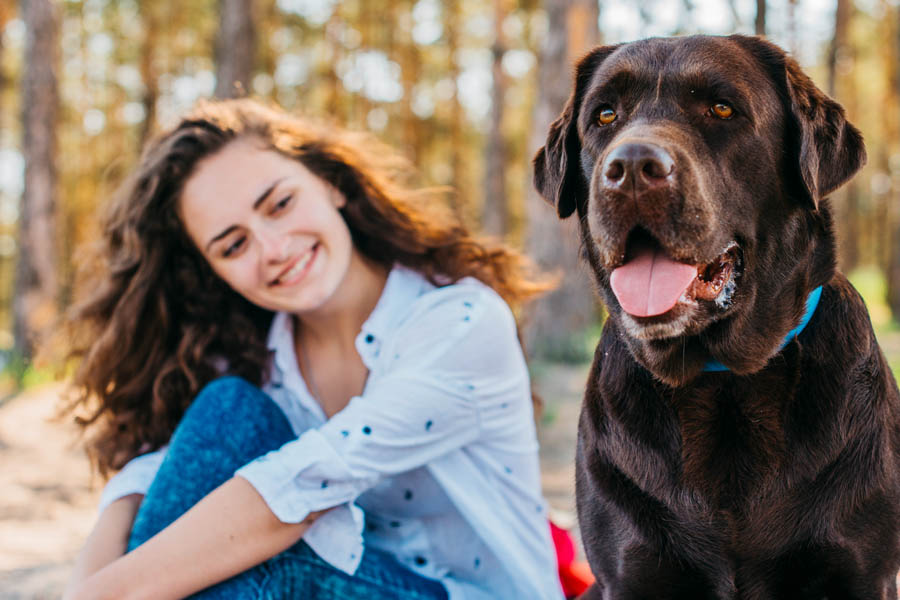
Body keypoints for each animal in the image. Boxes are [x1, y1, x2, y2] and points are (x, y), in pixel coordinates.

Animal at [532, 36, 900, 600]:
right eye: (605, 115)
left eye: (722, 109)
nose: (630, 167)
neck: (721, 381)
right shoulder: (628, 570)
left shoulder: (863, 572)